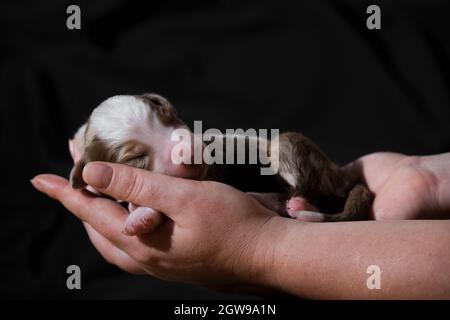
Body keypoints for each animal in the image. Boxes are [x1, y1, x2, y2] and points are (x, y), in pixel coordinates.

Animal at [69, 92, 372, 235]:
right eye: (136, 158)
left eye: (167, 115)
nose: (191, 151)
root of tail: (342, 176)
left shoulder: (213, 174)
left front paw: (140, 216)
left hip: (287, 146)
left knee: (305, 189)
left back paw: (292, 203)